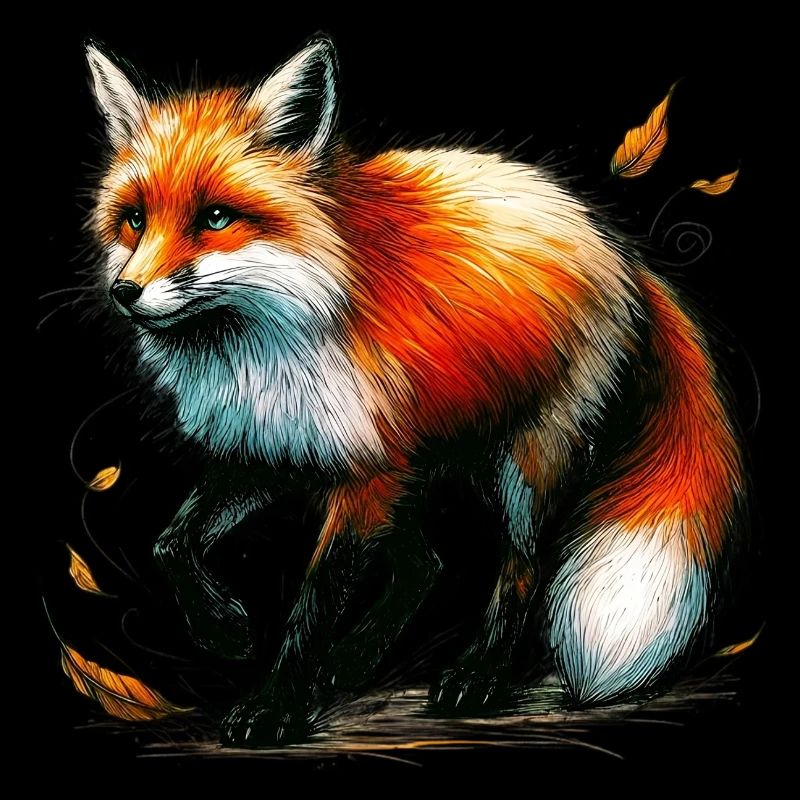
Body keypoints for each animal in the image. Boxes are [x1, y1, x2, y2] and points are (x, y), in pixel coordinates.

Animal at [84, 35, 746, 747]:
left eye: (215, 218)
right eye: (134, 220)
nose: (125, 292)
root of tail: (619, 247)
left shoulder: (361, 472)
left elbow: (310, 605)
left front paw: (274, 707)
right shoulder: (276, 446)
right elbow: (169, 543)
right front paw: (226, 631)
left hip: (524, 461)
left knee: (520, 570)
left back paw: (477, 677)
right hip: (421, 462)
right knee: (426, 565)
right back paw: (355, 660)